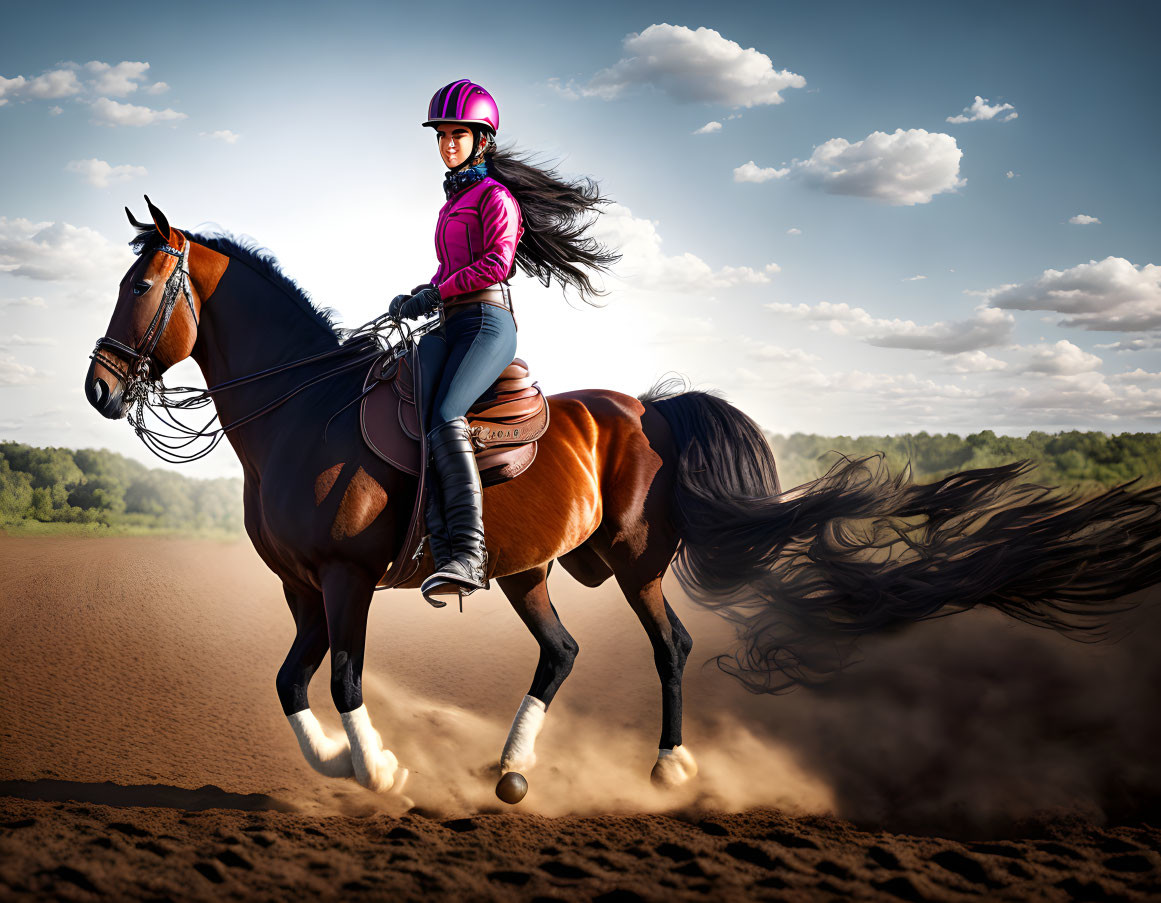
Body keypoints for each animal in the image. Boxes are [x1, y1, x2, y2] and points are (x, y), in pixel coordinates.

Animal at [85, 198, 1161, 803]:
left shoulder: (347, 579)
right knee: (561, 652)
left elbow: (344, 679)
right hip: (530, 569)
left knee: (669, 646)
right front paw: (342, 768)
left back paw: (669, 770)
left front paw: (380, 770)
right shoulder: (301, 586)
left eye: (143, 284)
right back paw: (512, 771)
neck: (304, 411)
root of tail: (651, 408)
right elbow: (288, 681)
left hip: (634, 563)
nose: (99, 386)